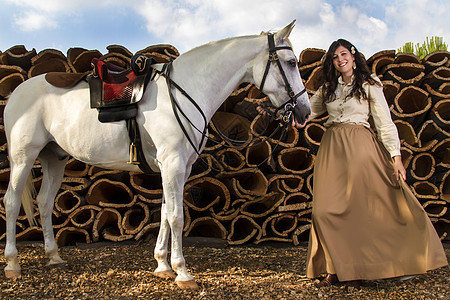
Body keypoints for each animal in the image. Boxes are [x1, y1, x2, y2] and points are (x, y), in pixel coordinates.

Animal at [1, 21, 310, 288]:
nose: (305, 111)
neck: (187, 89)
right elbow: (176, 216)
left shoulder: (177, 167)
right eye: (291, 63)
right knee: (13, 202)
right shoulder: (172, 164)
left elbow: (163, 212)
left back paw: (54, 256)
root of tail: (18, 92)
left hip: (53, 158)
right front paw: (182, 272)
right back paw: (13, 264)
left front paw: (162, 266)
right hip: (23, 157)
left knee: (44, 202)